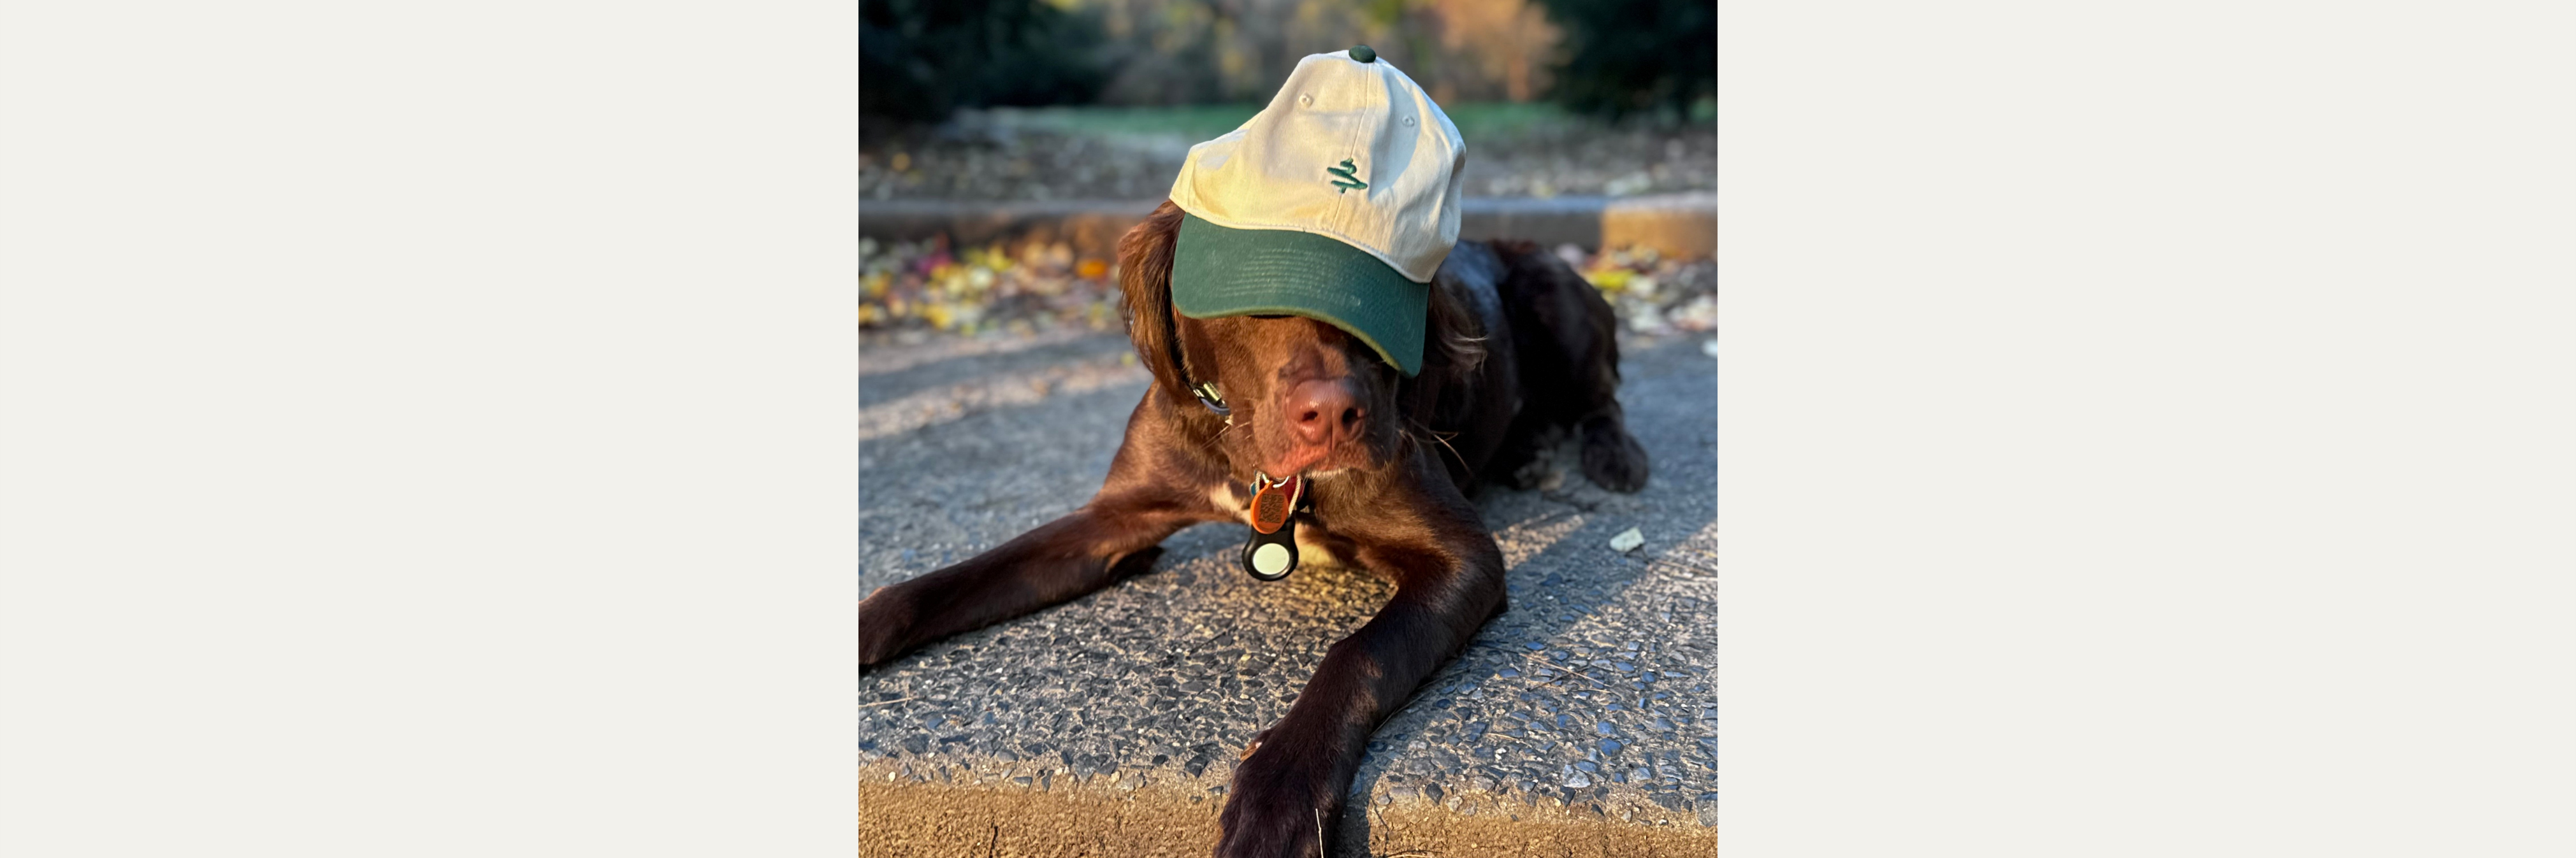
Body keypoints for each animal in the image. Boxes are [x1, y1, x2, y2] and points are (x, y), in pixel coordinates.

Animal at [858, 195, 1649, 856]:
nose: (1334, 416)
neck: (1264, 469)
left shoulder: (1464, 556)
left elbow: (1358, 653)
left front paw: (1279, 792)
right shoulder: (1107, 524)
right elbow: (950, 580)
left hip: (1557, 299)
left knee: (1604, 397)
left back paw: (1611, 456)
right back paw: (1527, 450)